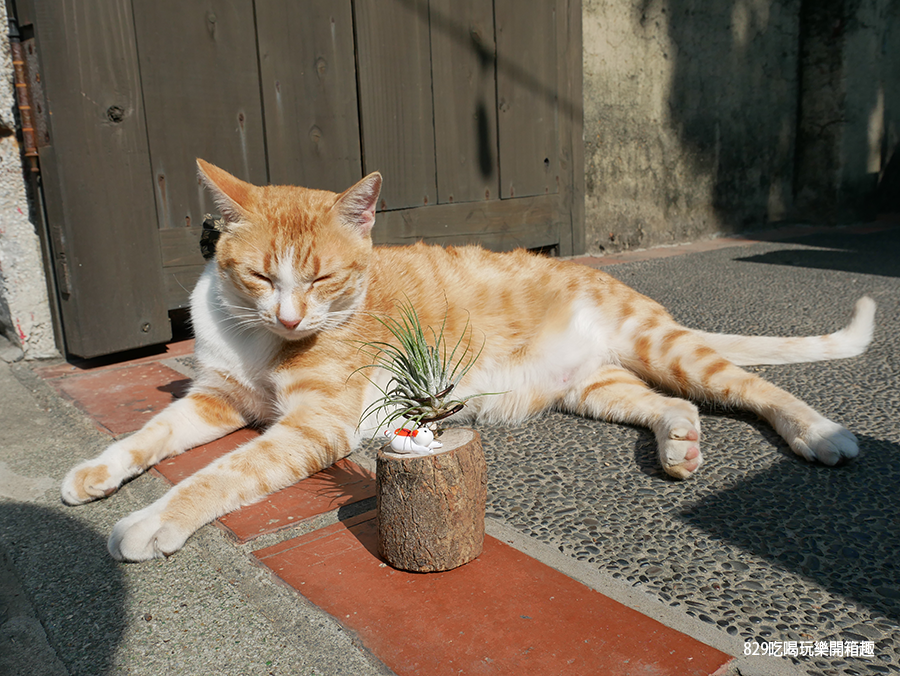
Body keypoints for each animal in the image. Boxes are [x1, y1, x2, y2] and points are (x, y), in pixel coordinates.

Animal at [59, 161, 876, 564]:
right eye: (261, 276)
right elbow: (147, 437)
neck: (263, 340)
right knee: (671, 406)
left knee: (755, 388)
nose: (291, 317)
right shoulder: (215, 399)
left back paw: (822, 435)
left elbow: (218, 476)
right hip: (598, 386)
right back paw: (679, 446)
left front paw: (151, 523)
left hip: (665, 348)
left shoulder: (316, 422)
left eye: (324, 279)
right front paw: (95, 473)